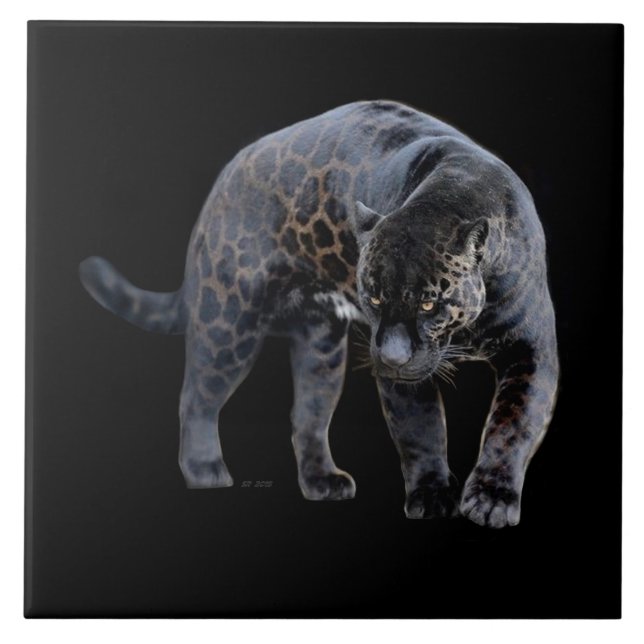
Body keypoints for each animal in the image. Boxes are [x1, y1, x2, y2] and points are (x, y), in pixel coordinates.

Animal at [79, 99, 559, 528]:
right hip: (229, 322)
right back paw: (204, 469)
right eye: (374, 298)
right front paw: (431, 494)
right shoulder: (405, 376)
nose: (391, 357)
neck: (453, 190)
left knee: (306, 416)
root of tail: (221, 184)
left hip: (321, 348)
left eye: (428, 303)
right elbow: (420, 430)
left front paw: (492, 500)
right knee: (197, 396)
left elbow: (512, 424)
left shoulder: (531, 349)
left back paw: (322, 481)